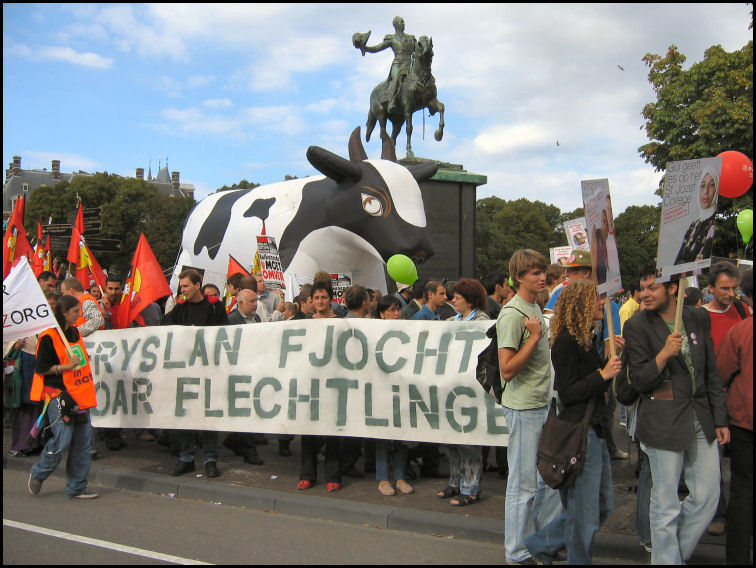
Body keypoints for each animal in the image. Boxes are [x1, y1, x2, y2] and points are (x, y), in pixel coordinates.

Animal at [170, 127, 437, 297]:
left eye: (420, 200)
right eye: (372, 203)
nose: (420, 250)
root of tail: (197, 207)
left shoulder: (370, 269)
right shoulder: (290, 258)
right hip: (185, 260)